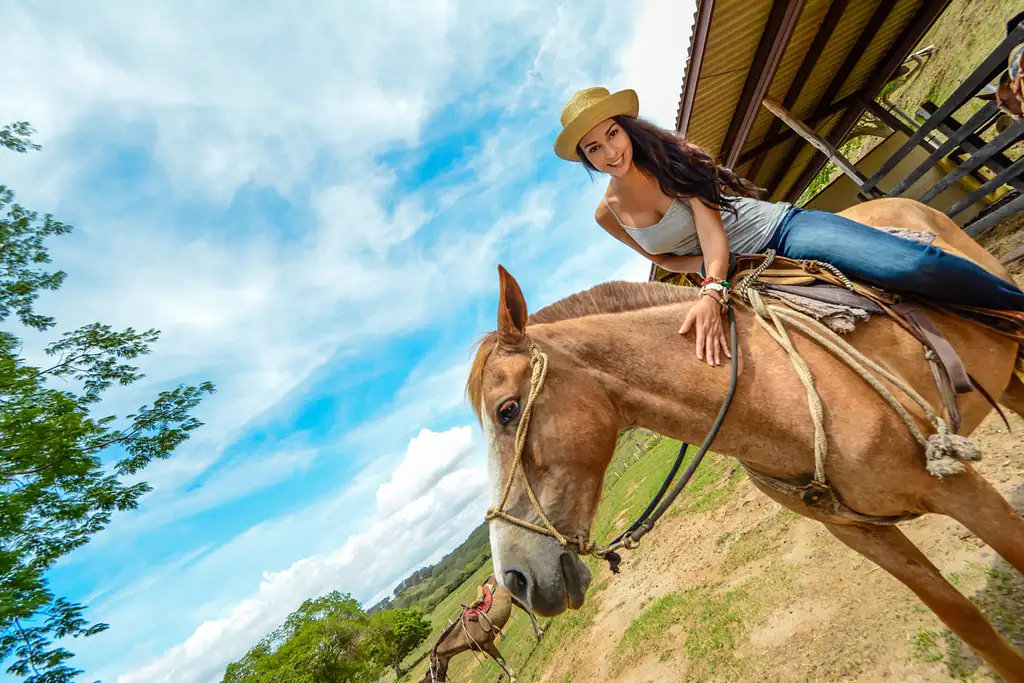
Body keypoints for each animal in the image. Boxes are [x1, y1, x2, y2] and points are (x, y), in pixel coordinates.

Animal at [468, 196, 1024, 679]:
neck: (779, 398)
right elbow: (967, 622)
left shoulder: (959, 489)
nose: (514, 580)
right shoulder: (861, 532)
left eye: (508, 410)